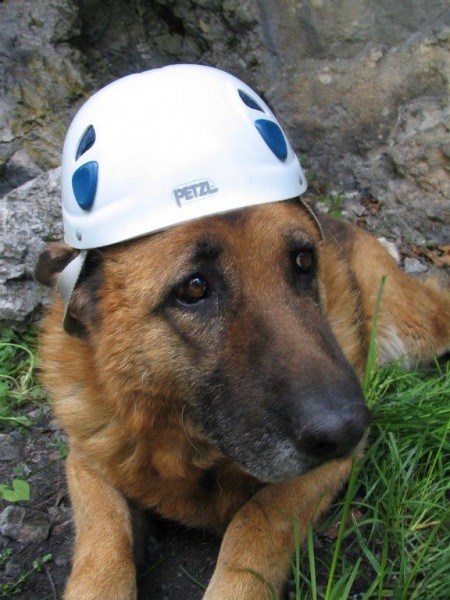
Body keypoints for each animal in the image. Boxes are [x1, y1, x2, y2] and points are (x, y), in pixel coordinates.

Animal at [35, 200, 450, 600]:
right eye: (194, 288)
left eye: (303, 260)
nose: (348, 430)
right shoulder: (88, 459)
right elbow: (105, 538)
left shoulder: (322, 472)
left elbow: (254, 522)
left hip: (413, 331)